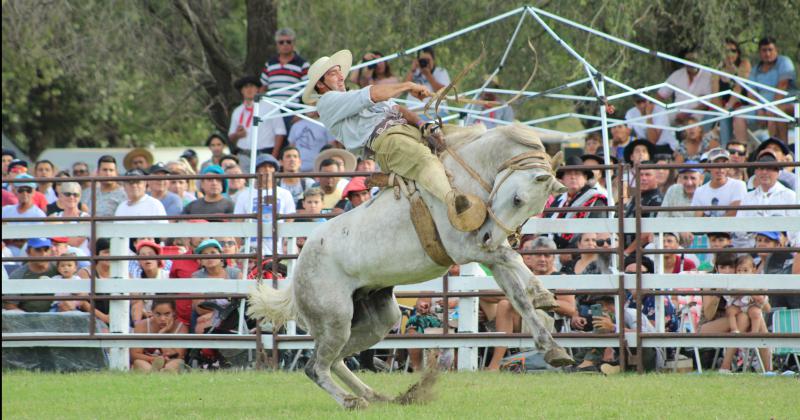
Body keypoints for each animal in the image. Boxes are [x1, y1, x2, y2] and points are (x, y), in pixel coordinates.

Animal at [252, 123, 576, 408]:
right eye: (518, 199)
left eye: (535, 208)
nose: (489, 237)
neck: (460, 181)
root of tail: (297, 272)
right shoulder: (465, 249)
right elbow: (515, 259)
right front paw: (544, 295)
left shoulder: (487, 255)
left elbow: (519, 298)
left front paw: (553, 348)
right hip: (336, 319)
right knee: (316, 367)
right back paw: (352, 401)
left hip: (375, 320)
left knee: (335, 361)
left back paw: (376, 395)